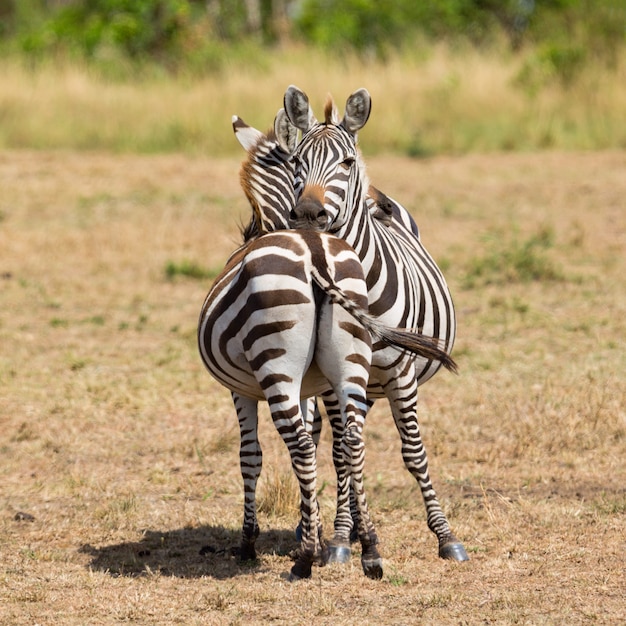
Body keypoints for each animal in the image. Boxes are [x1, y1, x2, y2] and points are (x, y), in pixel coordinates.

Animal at [199, 222, 454, 576]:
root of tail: (315, 253)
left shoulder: (242, 391)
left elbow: (250, 457)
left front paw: (249, 542)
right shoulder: (310, 390)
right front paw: (319, 534)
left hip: (276, 360)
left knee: (303, 447)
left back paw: (304, 561)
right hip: (350, 361)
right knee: (351, 442)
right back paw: (369, 551)